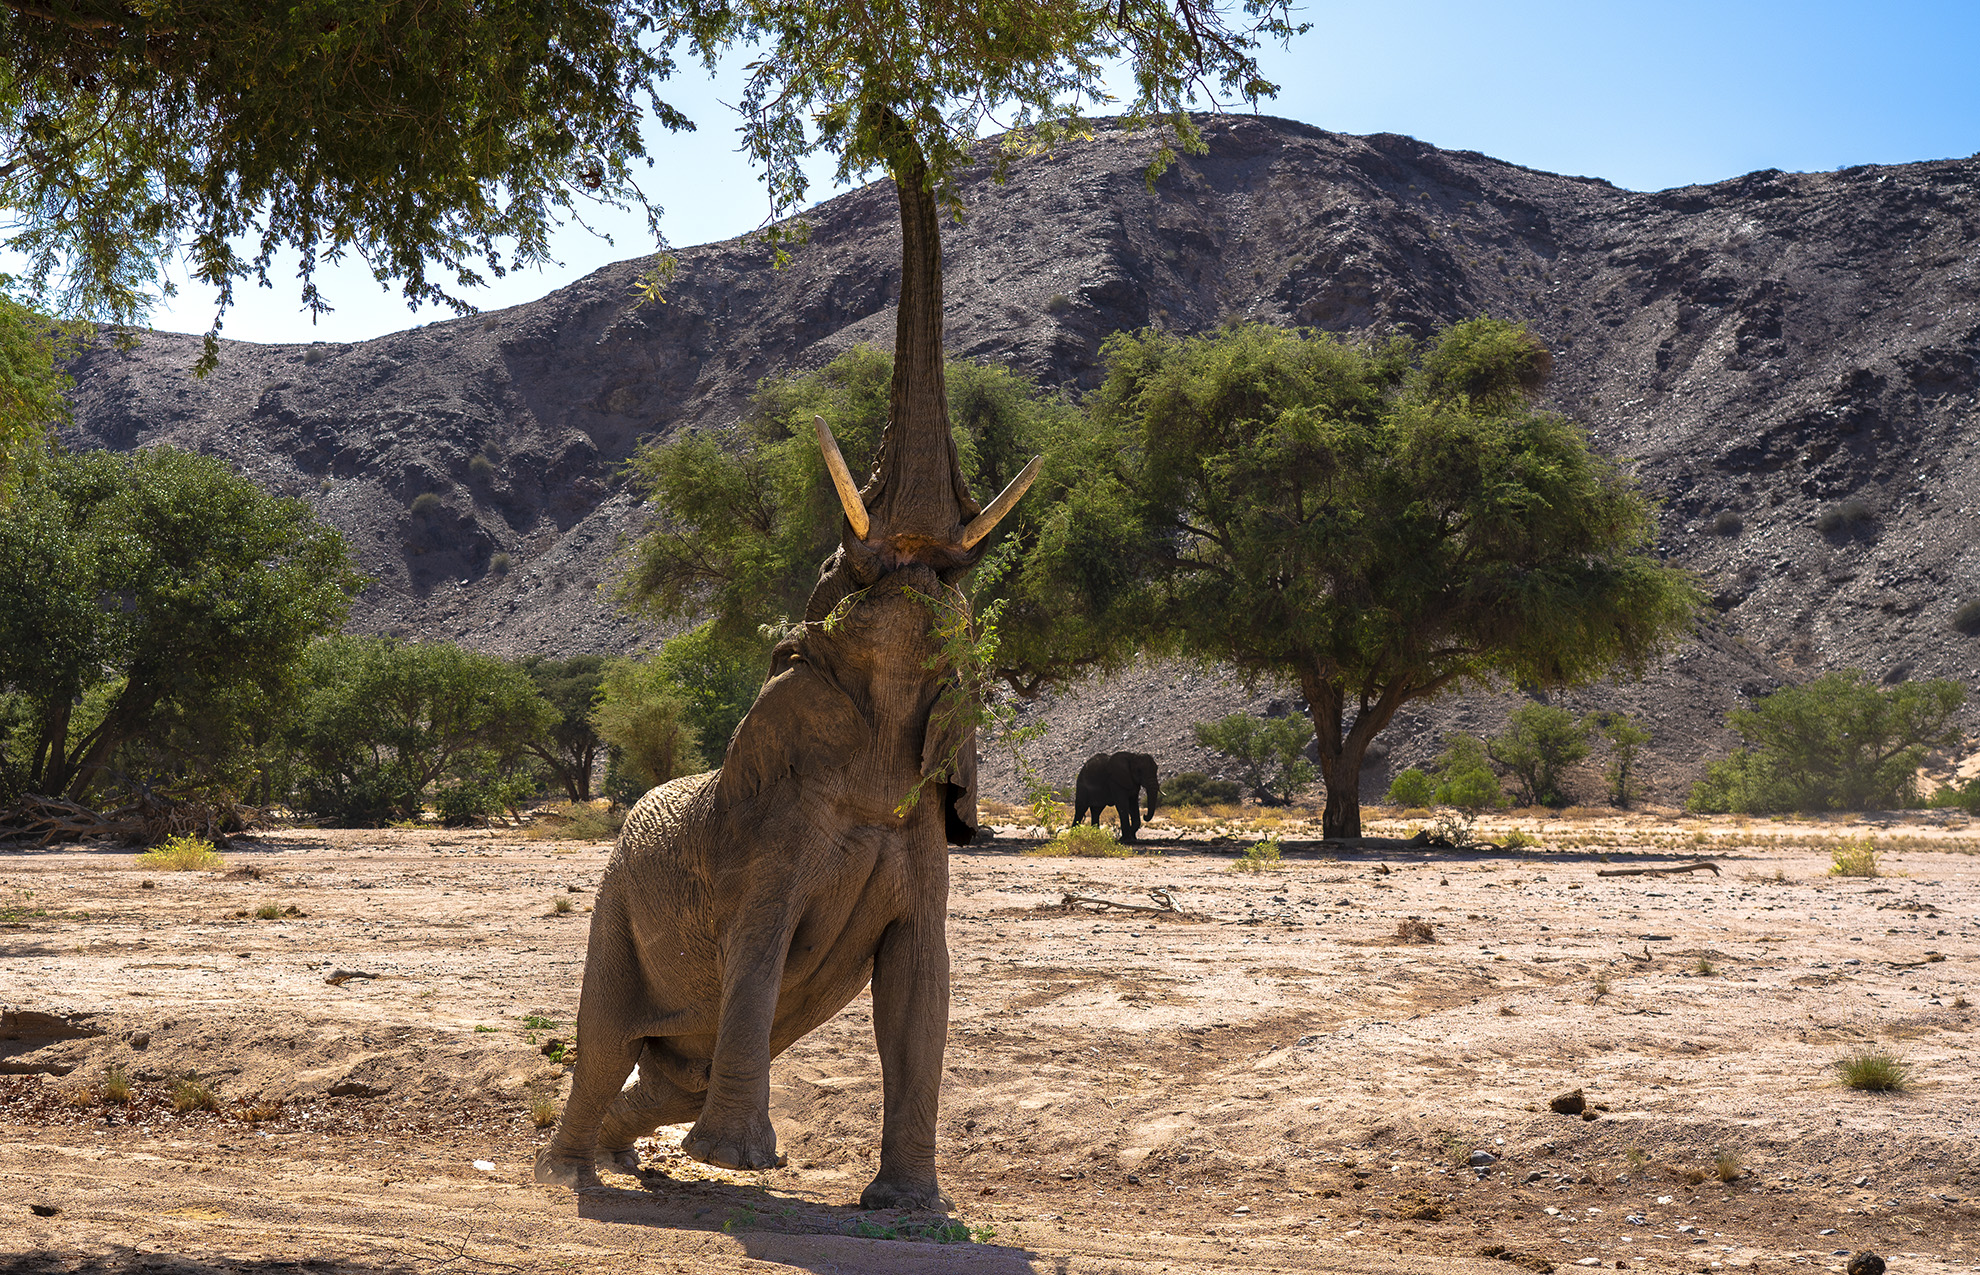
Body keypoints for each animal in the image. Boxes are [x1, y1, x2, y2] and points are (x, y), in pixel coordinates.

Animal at [532, 113, 1041, 1213]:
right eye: (838, 569)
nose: (887, 114)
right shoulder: (767, 836)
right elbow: (758, 957)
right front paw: (737, 1164)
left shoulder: (924, 835)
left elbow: (922, 986)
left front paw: (913, 1207)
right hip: (612, 901)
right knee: (605, 1042)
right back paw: (568, 1173)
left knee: (663, 1072)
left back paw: (625, 1159)